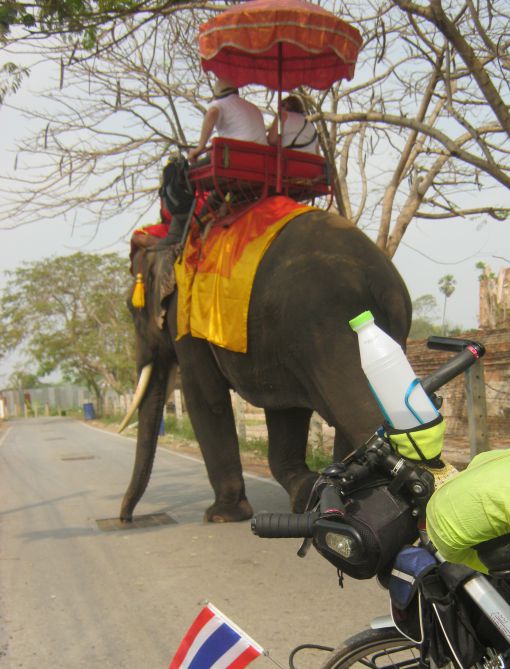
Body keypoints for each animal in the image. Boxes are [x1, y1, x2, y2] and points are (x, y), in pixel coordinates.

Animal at [121, 209, 412, 520]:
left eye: (131, 308)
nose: (126, 519)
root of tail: (383, 279)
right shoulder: (279, 349)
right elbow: (284, 409)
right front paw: (306, 493)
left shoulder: (185, 323)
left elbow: (206, 399)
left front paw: (221, 515)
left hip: (331, 326)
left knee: (360, 411)